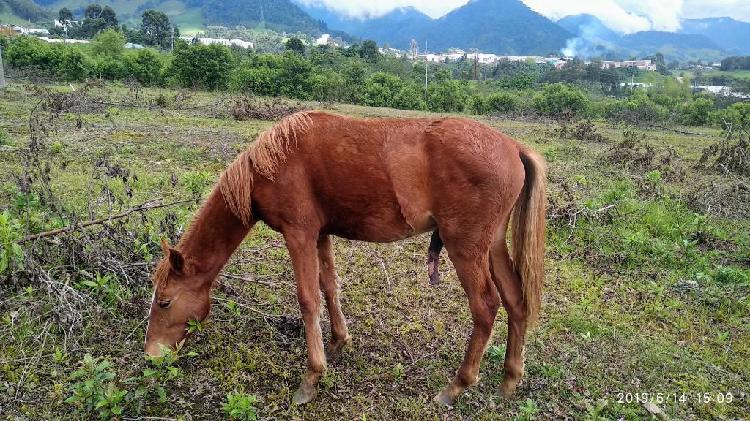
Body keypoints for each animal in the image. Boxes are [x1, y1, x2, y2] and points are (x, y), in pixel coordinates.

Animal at [145, 110, 548, 406]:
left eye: (164, 302)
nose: (151, 355)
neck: (271, 163)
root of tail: (513, 146)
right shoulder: (320, 234)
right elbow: (329, 287)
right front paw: (338, 341)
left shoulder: (299, 234)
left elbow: (308, 299)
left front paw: (312, 377)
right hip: (491, 246)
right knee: (515, 301)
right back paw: (509, 380)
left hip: (466, 249)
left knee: (486, 307)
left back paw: (456, 386)